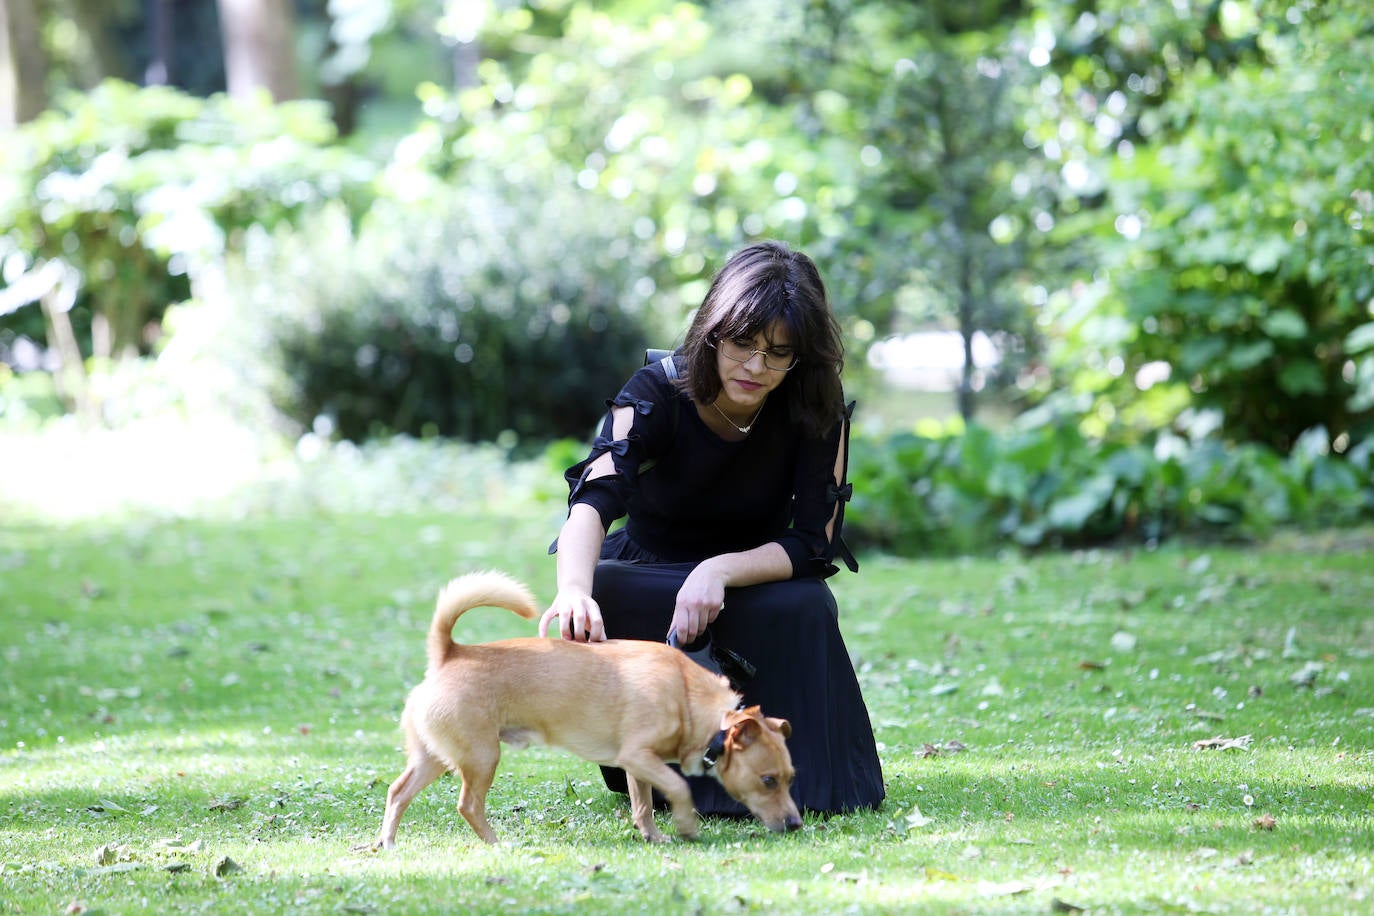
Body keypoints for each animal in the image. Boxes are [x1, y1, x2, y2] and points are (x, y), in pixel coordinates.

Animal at [376, 568, 802, 851]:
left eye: (790, 778)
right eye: (768, 780)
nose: (797, 823)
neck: (687, 697)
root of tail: (449, 654)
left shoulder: (637, 766)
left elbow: (644, 805)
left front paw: (653, 835)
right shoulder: (639, 756)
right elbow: (678, 786)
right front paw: (685, 826)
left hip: (434, 757)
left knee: (398, 792)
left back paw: (387, 842)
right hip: (481, 758)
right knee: (467, 805)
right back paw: (497, 843)